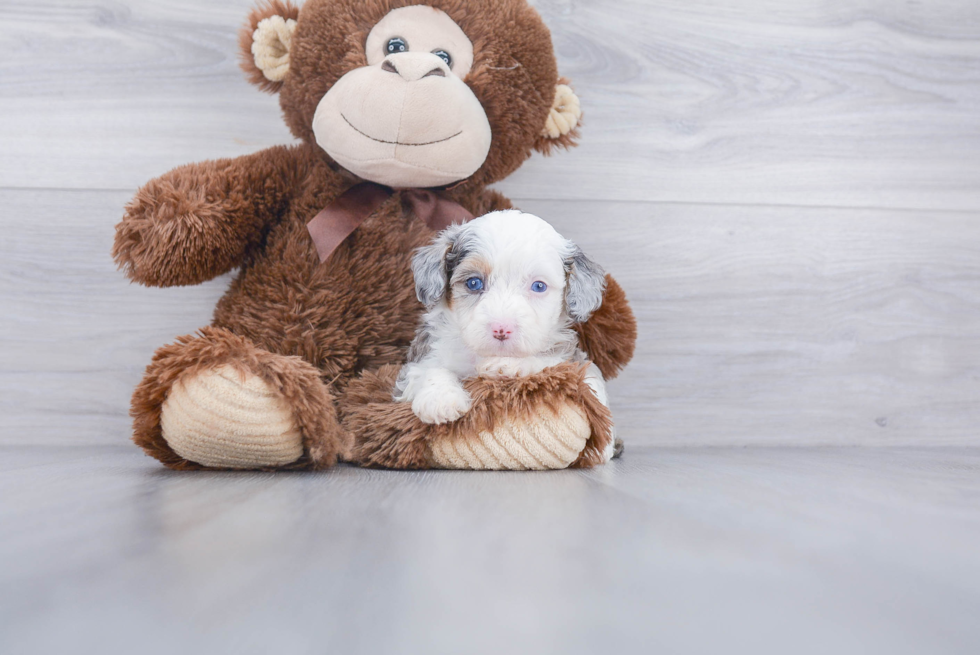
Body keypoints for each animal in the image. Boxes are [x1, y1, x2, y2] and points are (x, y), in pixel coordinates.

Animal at [392, 210, 612, 456]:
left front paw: (507, 365)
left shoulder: (573, 360)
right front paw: (440, 398)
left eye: (539, 286)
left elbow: (550, 363)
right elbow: (427, 369)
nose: (501, 328)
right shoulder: (419, 357)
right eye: (474, 283)